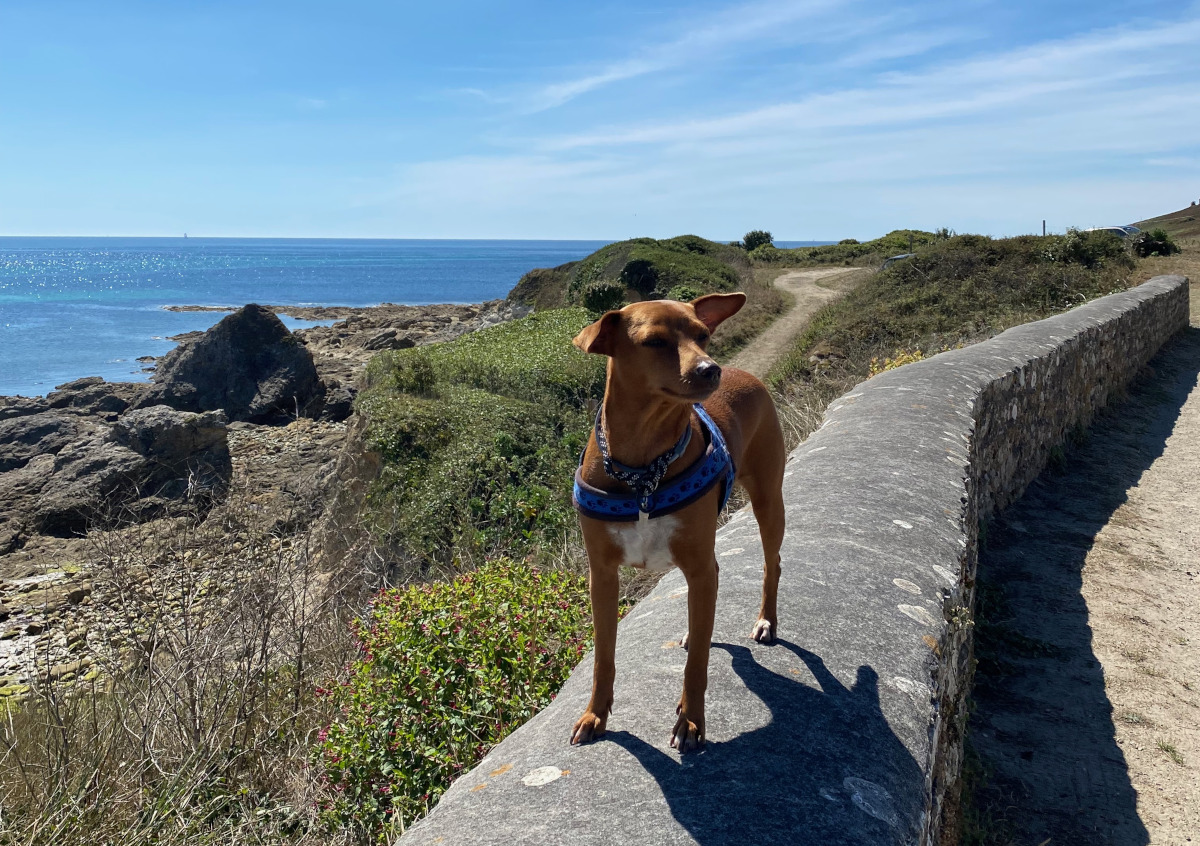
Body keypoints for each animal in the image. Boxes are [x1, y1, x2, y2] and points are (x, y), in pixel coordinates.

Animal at [568, 294, 787, 748]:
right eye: (654, 341)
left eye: (702, 336)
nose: (710, 369)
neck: (642, 471)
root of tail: (745, 373)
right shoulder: (603, 575)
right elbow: (603, 657)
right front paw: (595, 714)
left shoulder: (699, 565)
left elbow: (698, 665)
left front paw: (690, 721)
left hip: (768, 501)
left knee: (771, 562)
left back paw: (766, 621)